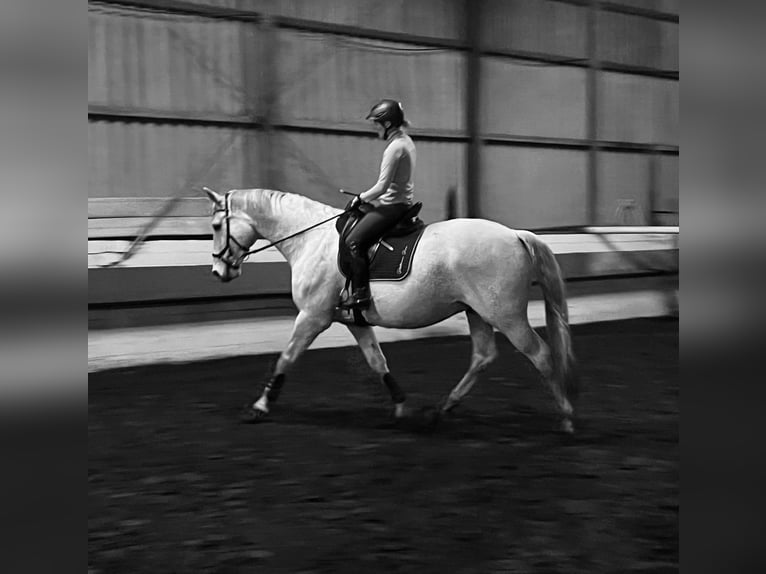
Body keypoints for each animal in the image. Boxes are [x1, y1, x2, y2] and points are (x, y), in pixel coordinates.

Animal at [207, 188, 580, 432]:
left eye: (215, 227)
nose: (218, 271)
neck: (311, 240)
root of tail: (516, 235)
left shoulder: (313, 316)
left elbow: (286, 357)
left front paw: (259, 406)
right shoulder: (354, 321)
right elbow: (377, 360)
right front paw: (400, 405)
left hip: (506, 315)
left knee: (540, 354)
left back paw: (566, 418)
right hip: (477, 312)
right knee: (483, 356)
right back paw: (443, 409)